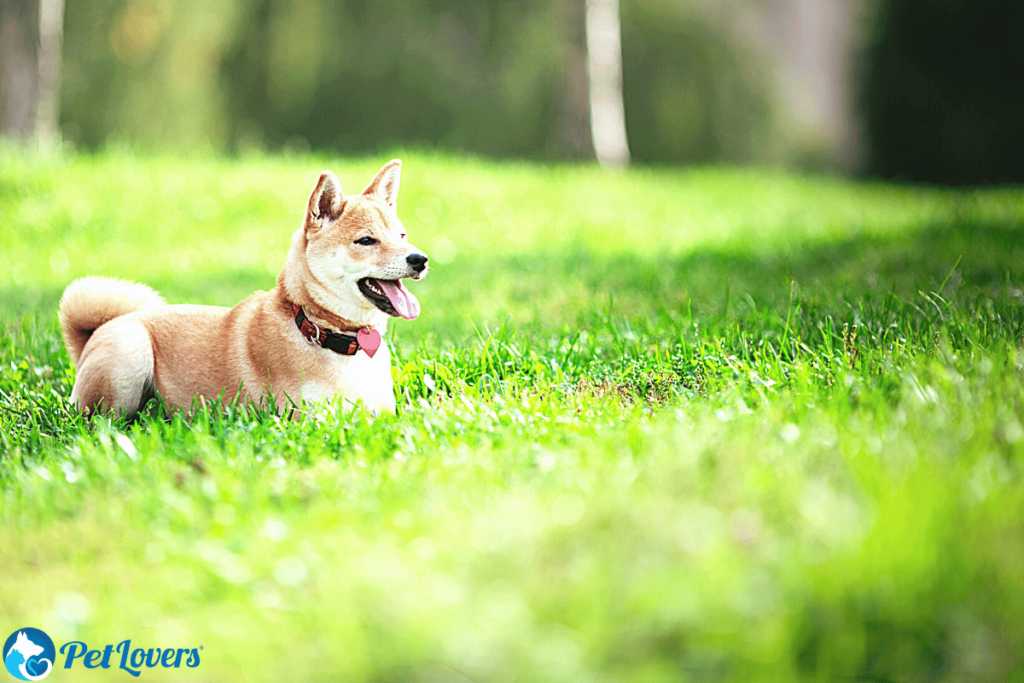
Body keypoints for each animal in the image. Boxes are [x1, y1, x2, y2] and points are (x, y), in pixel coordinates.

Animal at [58, 160, 425, 417]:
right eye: (366, 240)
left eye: (402, 235)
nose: (420, 259)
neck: (320, 329)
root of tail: (99, 331)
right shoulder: (308, 418)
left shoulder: (383, 411)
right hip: (129, 351)